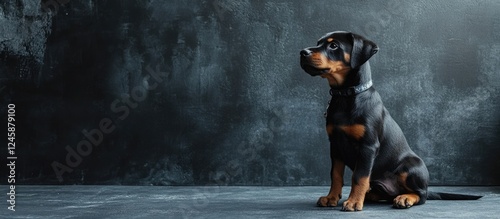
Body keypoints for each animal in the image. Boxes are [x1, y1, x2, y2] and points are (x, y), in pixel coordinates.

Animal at [298, 30, 482, 210]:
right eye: (318, 43)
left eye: (334, 45)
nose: (302, 52)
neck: (346, 96)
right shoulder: (335, 145)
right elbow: (335, 174)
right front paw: (331, 198)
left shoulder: (368, 146)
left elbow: (359, 176)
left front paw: (354, 202)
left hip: (410, 167)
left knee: (422, 195)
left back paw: (405, 198)